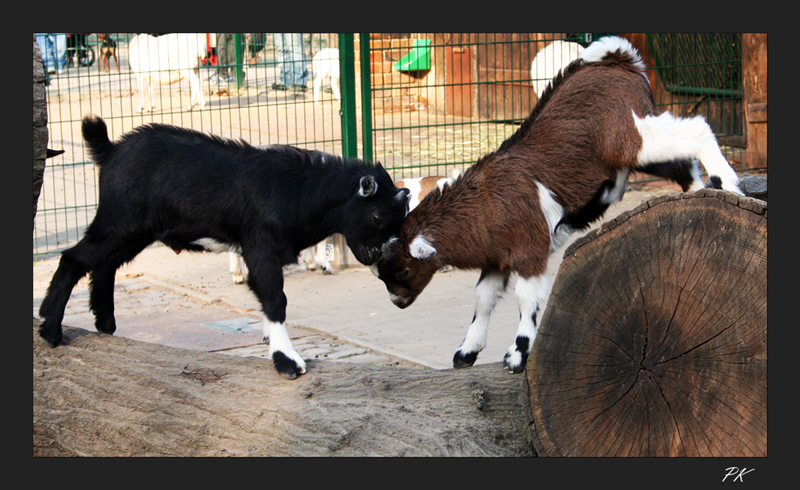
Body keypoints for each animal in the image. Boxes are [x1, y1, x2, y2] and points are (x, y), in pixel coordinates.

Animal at [38, 117, 410, 380]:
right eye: (377, 215)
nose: (375, 258)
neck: (298, 189)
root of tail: (110, 150)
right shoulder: (259, 244)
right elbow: (275, 298)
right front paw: (287, 362)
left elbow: (264, 299)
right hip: (120, 222)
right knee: (74, 258)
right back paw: (51, 331)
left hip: (132, 231)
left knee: (104, 264)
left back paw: (105, 324)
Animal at [372, 36, 740, 374]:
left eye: (403, 270)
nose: (397, 302)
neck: (486, 202)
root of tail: (618, 58)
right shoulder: (495, 259)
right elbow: (483, 298)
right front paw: (466, 352)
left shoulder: (529, 251)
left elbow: (526, 299)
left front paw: (518, 355)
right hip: (632, 152)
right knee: (682, 162)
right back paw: (697, 196)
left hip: (631, 134)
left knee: (697, 130)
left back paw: (729, 184)